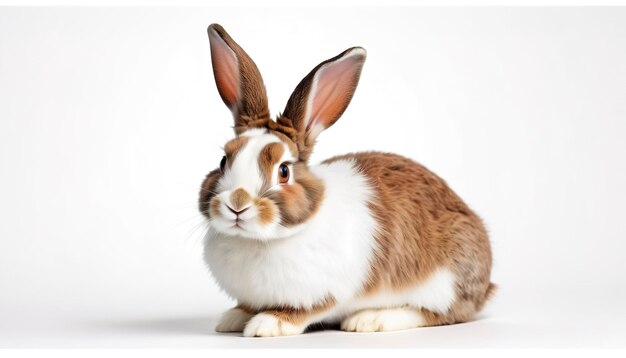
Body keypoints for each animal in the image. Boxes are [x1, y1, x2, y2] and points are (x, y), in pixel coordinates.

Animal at [199, 23, 492, 338]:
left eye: (284, 171)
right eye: (224, 161)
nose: (237, 203)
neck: (260, 239)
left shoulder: (327, 291)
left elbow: (304, 311)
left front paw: (268, 324)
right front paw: (233, 317)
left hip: (444, 282)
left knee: (439, 313)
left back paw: (370, 320)